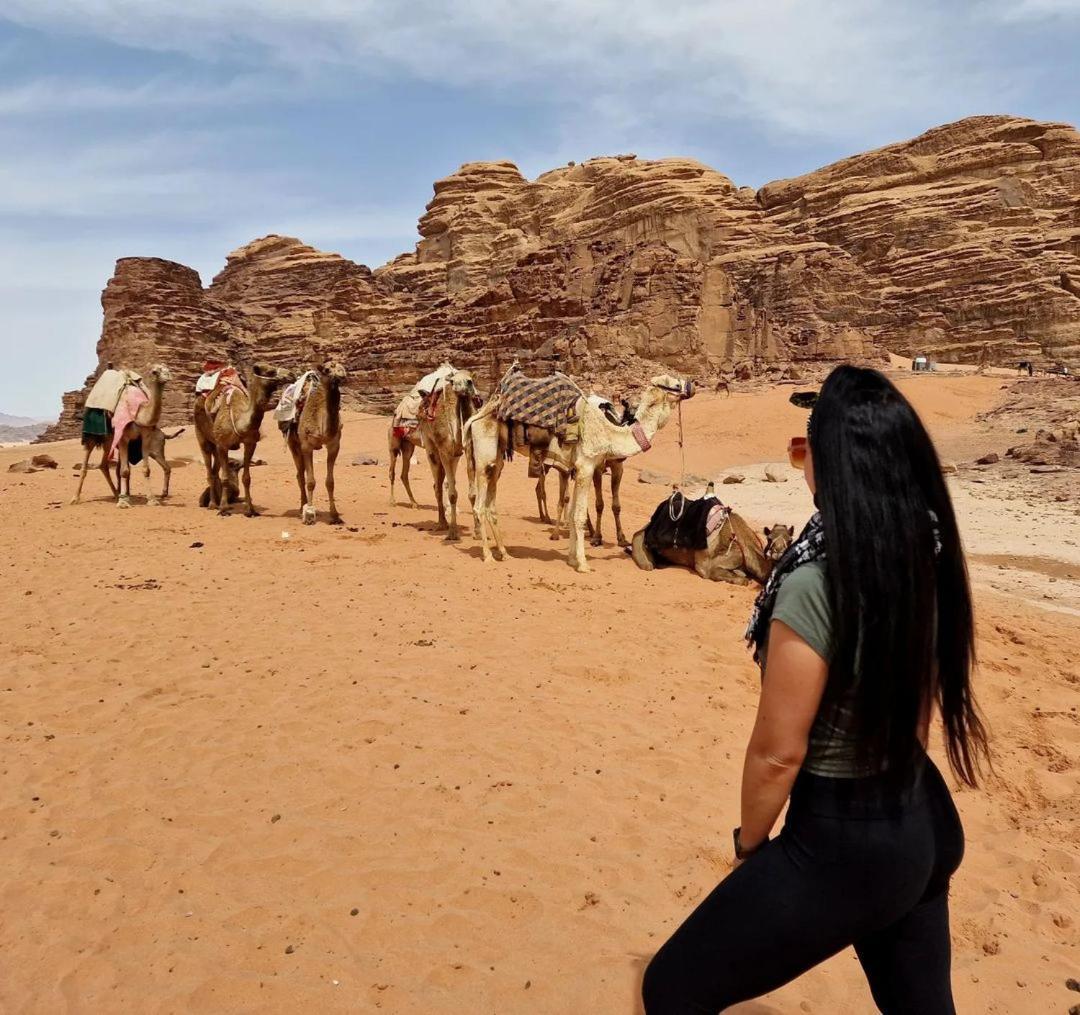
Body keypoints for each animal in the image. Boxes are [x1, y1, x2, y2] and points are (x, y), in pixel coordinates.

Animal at [196, 360, 291, 516]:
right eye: (270, 371)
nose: (291, 374)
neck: (240, 419)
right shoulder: (223, 445)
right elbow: (225, 478)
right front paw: (223, 509)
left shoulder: (250, 443)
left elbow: (246, 478)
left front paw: (250, 510)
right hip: (203, 438)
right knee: (210, 472)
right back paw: (213, 504)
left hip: (216, 444)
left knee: (215, 472)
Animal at [282, 360, 345, 526]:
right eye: (328, 369)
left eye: (343, 368)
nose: (341, 376)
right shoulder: (306, 446)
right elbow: (310, 481)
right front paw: (309, 514)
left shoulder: (334, 445)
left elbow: (330, 482)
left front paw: (335, 515)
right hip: (293, 444)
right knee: (300, 475)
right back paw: (301, 508)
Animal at [414, 364, 479, 539]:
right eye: (453, 380)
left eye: (470, 381)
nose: (459, 386)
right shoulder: (444, 451)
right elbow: (452, 494)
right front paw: (452, 532)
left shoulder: (468, 450)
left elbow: (472, 493)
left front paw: (478, 531)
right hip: (431, 447)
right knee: (437, 486)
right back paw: (442, 523)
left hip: (454, 456)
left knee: (446, 482)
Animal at [630, 507, 799, 587]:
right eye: (769, 539)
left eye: (790, 540)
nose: (778, 552)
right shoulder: (712, 566)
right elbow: (739, 579)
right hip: (642, 539)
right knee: (643, 554)